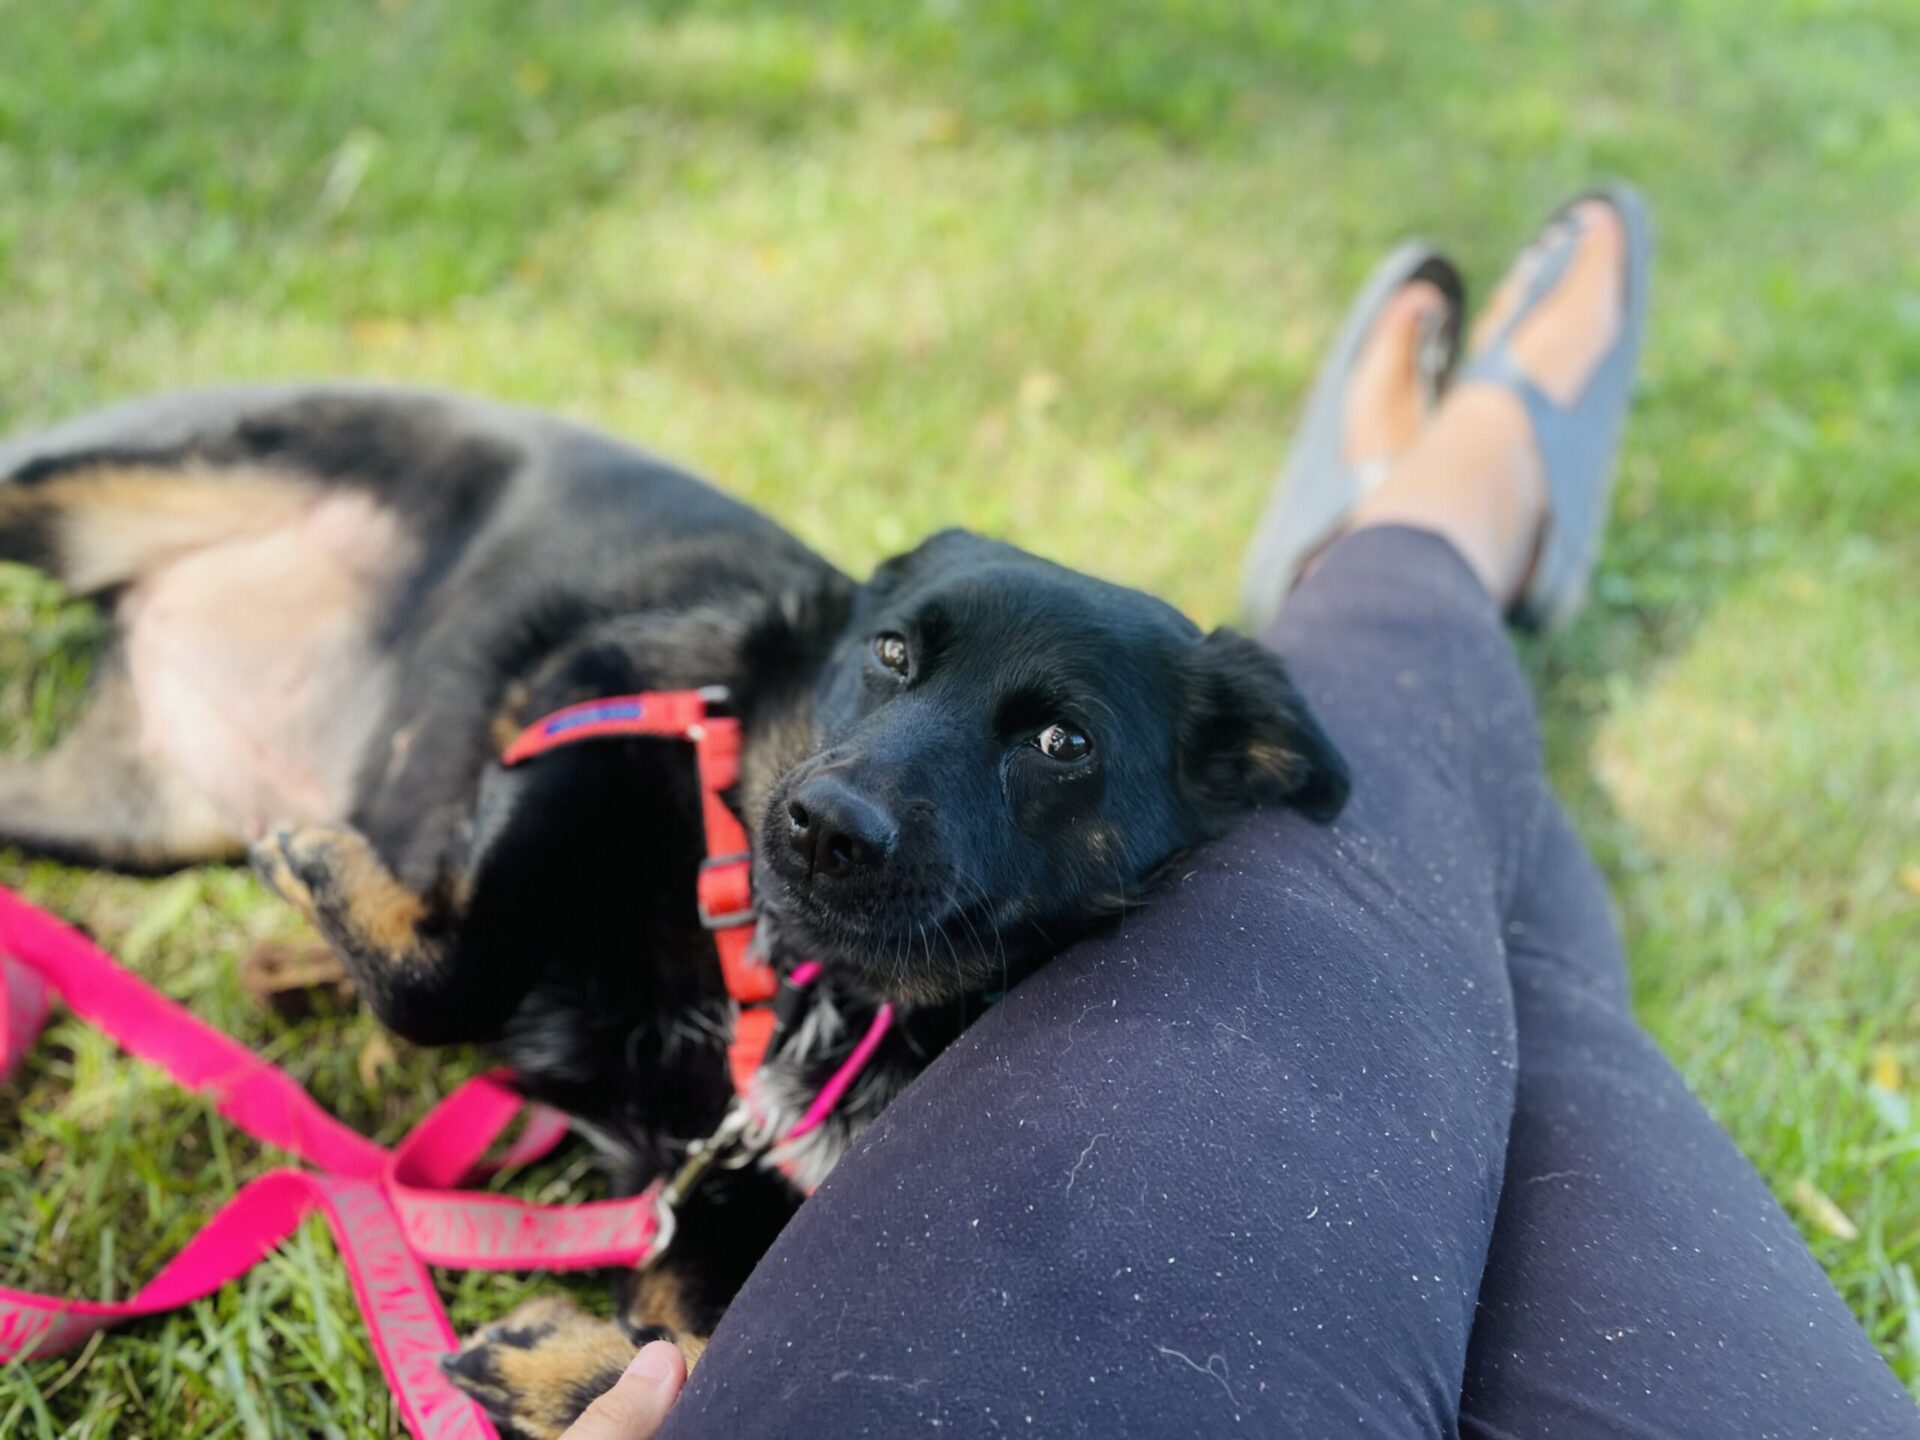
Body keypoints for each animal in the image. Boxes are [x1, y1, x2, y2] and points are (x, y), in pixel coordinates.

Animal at [0, 385, 1346, 1436]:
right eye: (894, 655)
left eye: (1064, 742)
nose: (825, 825)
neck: (810, 990)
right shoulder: (590, 722)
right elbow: (458, 975)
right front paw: (331, 871)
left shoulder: (710, 1206)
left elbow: (692, 1355)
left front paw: (554, 1367)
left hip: (113, 812)